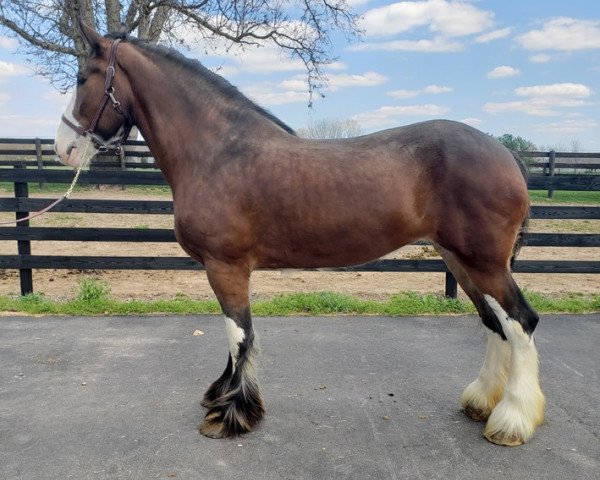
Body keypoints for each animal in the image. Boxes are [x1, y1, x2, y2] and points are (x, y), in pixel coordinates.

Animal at [55, 24, 544, 446]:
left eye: (82, 78)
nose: (64, 148)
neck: (218, 152)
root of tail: (507, 154)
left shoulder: (225, 267)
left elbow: (240, 335)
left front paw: (231, 414)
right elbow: (235, 336)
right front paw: (222, 397)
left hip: (483, 263)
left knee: (520, 323)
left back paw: (512, 420)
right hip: (460, 260)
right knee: (495, 325)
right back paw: (481, 403)